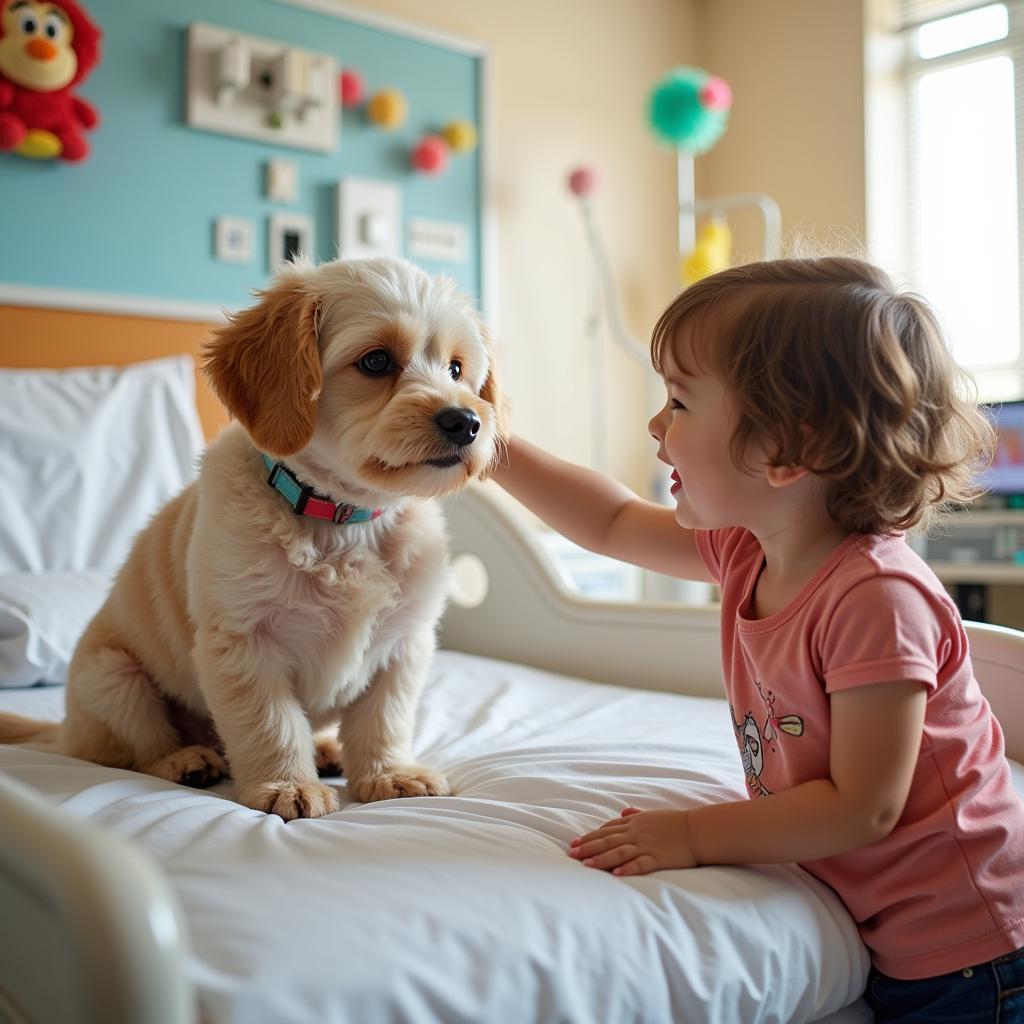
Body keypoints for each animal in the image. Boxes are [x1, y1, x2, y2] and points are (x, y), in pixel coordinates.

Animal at [0, 258, 503, 823]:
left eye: (457, 370)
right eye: (376, 361)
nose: (467, 421)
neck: (344, 521)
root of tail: (63, 733)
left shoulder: (405, 643)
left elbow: (384, 718)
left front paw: (389, 773)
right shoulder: (243, 640)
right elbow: (272, 723)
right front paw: (287, 785)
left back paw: (324, 749)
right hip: (112, 676)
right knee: (137, 746)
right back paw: (184, 760)